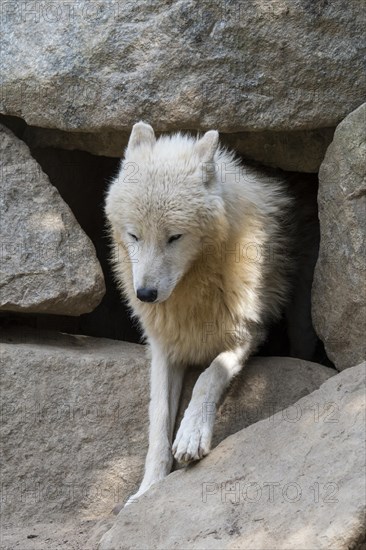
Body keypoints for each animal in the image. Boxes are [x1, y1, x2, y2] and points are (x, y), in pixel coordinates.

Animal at [104, 123, 294, 506]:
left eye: (174, 237)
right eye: (134, 235)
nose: (145, 295)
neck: (193, 296)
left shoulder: (248, 332)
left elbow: (209, 374)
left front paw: (191, 435)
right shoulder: (164, 346)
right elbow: (158, 419)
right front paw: (147, 489)